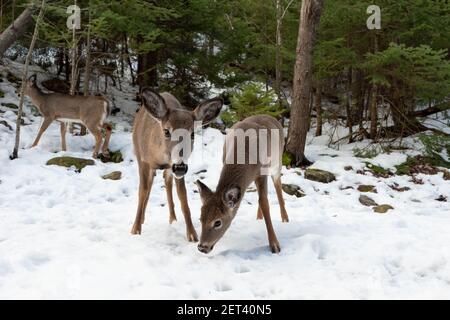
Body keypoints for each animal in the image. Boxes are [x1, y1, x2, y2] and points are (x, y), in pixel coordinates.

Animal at [132, 87, 223, 240]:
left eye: (192, 134)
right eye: (166, 131)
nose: (180, 167)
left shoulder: (176, 168)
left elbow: (183, 195)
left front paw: (192, 234)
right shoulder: (143, 161)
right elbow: (142, 191)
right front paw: (135, 229)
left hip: (170, 169)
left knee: (167, 182)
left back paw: (173, 219)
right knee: (148, 186)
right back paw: (143, 218)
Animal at [194, 114, 288, 252]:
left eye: (218, 222)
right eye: (201, 219)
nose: (202, 247)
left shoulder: (262, 172)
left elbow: (265, 203)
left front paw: (275, 245)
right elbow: (262, 199)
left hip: (277, 161)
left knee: (277, 184)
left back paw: (285, 218)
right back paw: (259, 217)